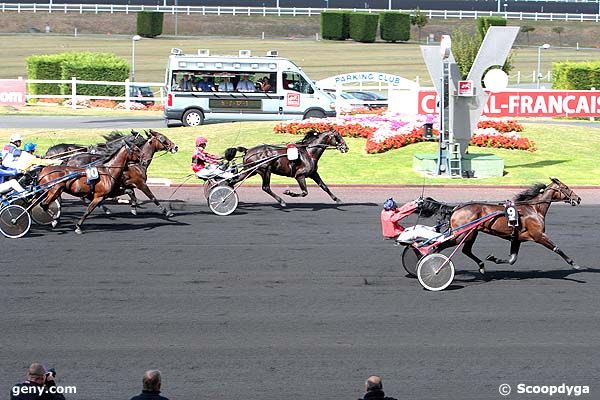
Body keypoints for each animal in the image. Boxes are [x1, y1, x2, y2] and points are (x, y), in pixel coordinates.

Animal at [446, 178, 580, 276]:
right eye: (566, 187)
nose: (578, 199)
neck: (533, 209)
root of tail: (456, 208)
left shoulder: (517, 239)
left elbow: (512, 260)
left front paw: (493, 258)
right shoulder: (539, 235)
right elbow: (557, 249)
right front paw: (574, 264)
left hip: (472, 233)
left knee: (466, 250)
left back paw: (481, 266)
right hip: (462, 234)